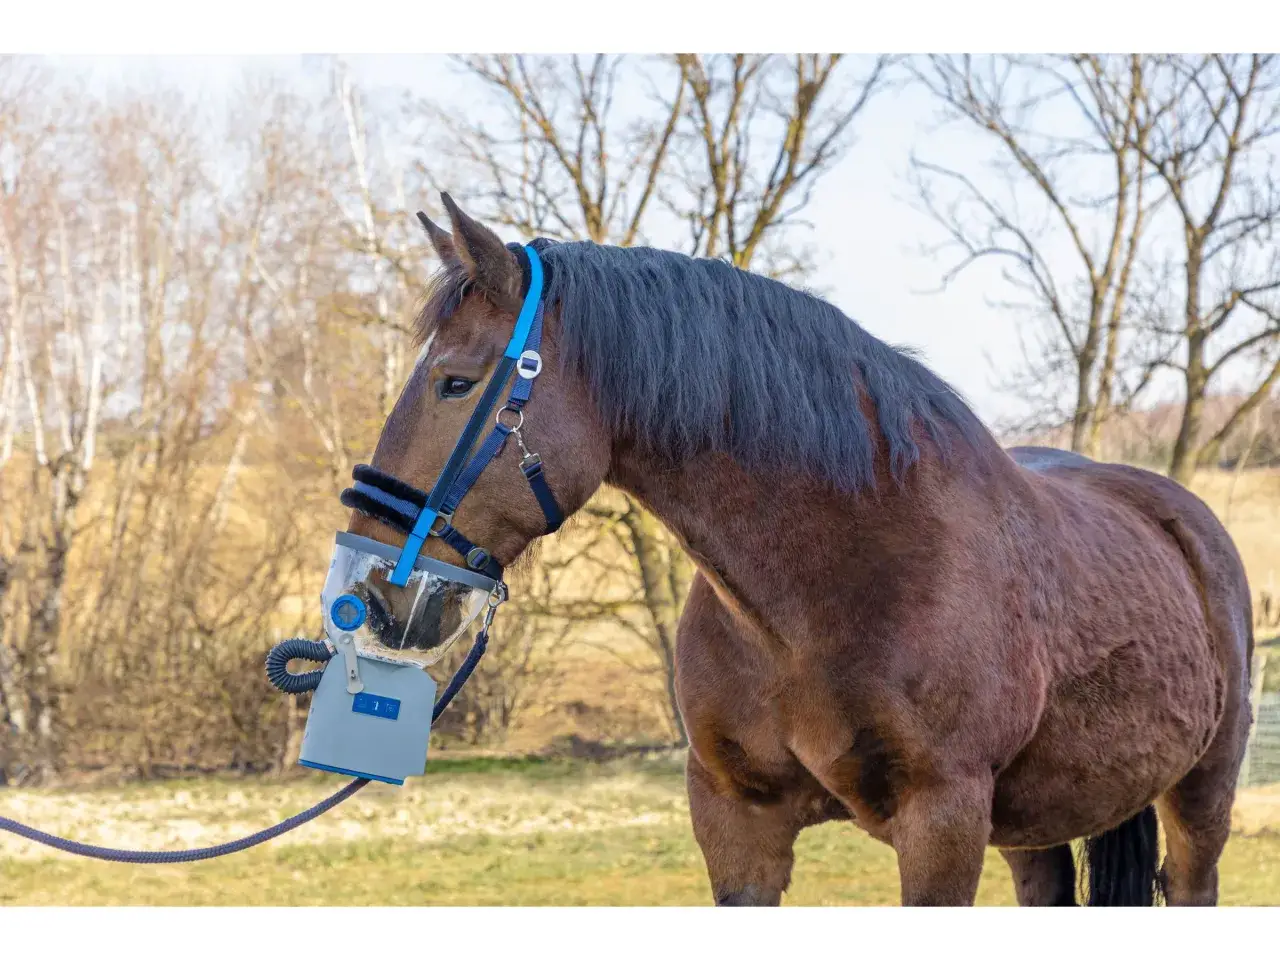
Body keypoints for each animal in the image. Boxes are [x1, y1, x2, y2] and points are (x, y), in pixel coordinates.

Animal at [352, 192, 1255, 907]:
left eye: (456, 383)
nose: (373, 589)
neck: (825, 593)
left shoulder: (943, 822)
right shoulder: (738, 823)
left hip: (1199, 798)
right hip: (1035, 827)